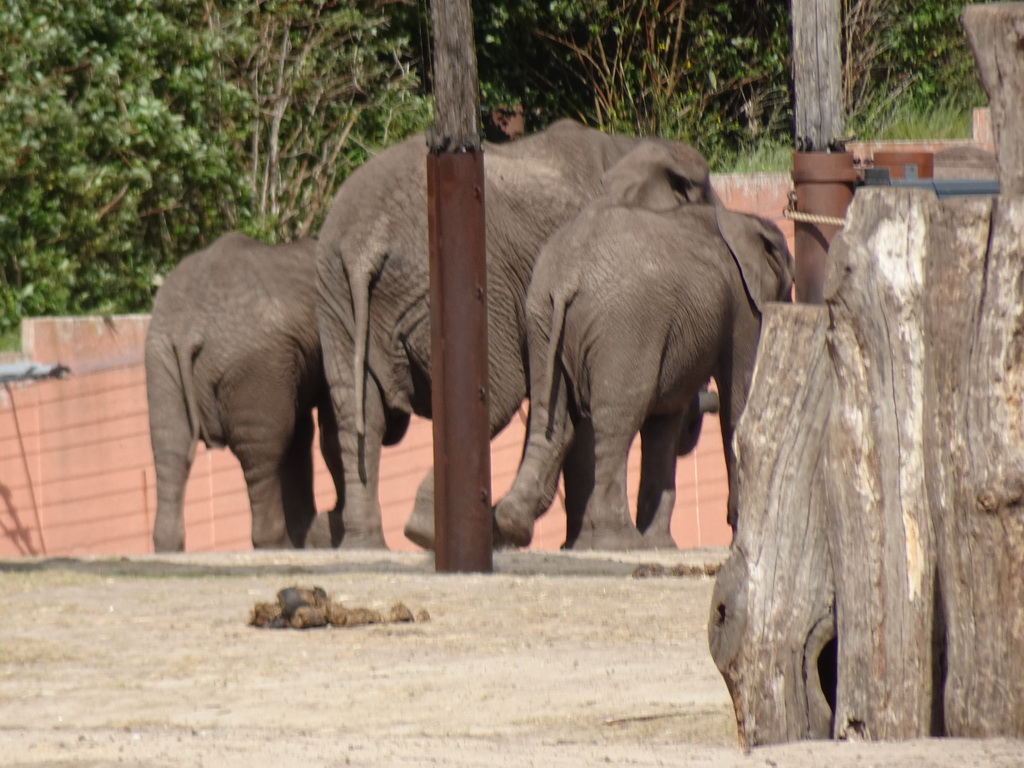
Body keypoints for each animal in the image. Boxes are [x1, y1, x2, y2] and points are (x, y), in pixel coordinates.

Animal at [145, 231, 344, 548]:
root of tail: (189, 328)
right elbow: (326, 431)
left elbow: (304, 437)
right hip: (253, 362)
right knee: (264, 455)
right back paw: (277, 548)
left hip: (161, 357)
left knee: (169, 448)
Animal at [315, 117, 716, 548]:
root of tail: (363, 244)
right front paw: (580, 544)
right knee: (494, 392)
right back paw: (431, 532)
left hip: (336, 290)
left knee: (357, 412)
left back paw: (373, 543)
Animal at [491, 202, 794, 552]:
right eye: (789, 286)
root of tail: (568, 276)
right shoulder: (741, 304)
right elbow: (738, 399)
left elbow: (666, 418)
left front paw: (662, 546)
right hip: (625, 324)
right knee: (617, 420)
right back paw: (619, 542)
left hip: (540, 316)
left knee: (549, 415)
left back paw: (514, 524)